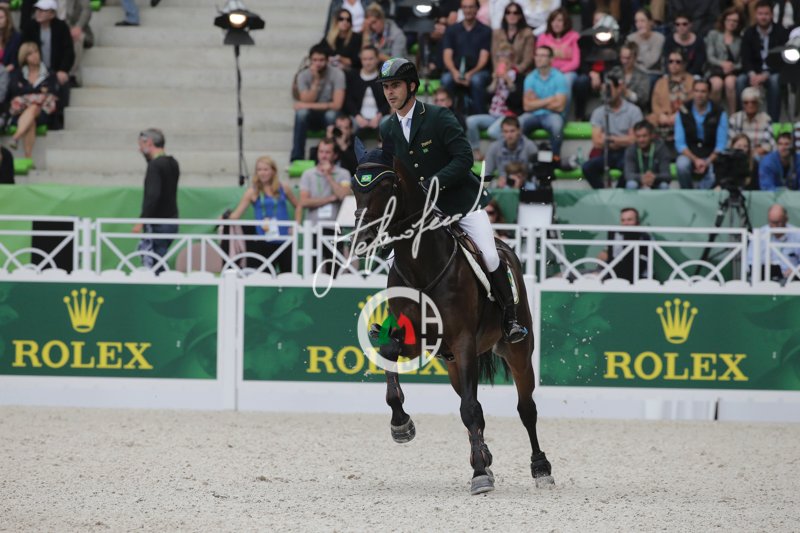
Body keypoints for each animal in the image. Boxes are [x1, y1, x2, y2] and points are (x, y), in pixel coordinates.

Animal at [349, 142, 554, 495]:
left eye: (387, 186)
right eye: (354, 187)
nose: (362, 239)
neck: (421, 263)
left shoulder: (463, 342)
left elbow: (470, 410)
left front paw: (480, 476)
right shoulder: (416, 340)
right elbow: (390, 356)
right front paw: (401, 425)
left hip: (516, 351)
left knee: (526, 408)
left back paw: (540, 468)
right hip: (454, 365)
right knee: (475, 406)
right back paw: (483, 455)